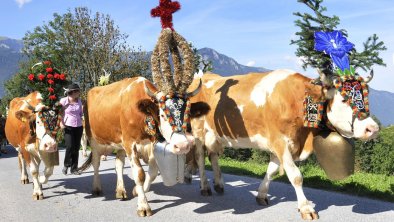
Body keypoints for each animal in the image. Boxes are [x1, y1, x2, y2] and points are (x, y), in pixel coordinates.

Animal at [77, 76, 206, 217]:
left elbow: (152, 173)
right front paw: (143, 206)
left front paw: (136, 191)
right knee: (96, 163)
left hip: (120, 144)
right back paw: (96, 188)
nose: (182, 145)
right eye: (162, 115)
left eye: (187, 115)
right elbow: (139, 174)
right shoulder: (130, 143)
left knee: (119, 164)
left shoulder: (151, 144)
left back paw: (121, 190)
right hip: (93, 139)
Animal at [187, 70, 378, 220]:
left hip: (214, 135)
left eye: (366, 96)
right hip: (198, 131)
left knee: (213, 155)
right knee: (199, 157)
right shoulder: (280, 142)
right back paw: (205, 187)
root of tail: (200, 76)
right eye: (344, 100)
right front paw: (306, 208)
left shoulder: (280, 145)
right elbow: (295, 176)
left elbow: (271, 171)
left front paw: (261, 195)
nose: (373, 128)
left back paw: (219, 185)